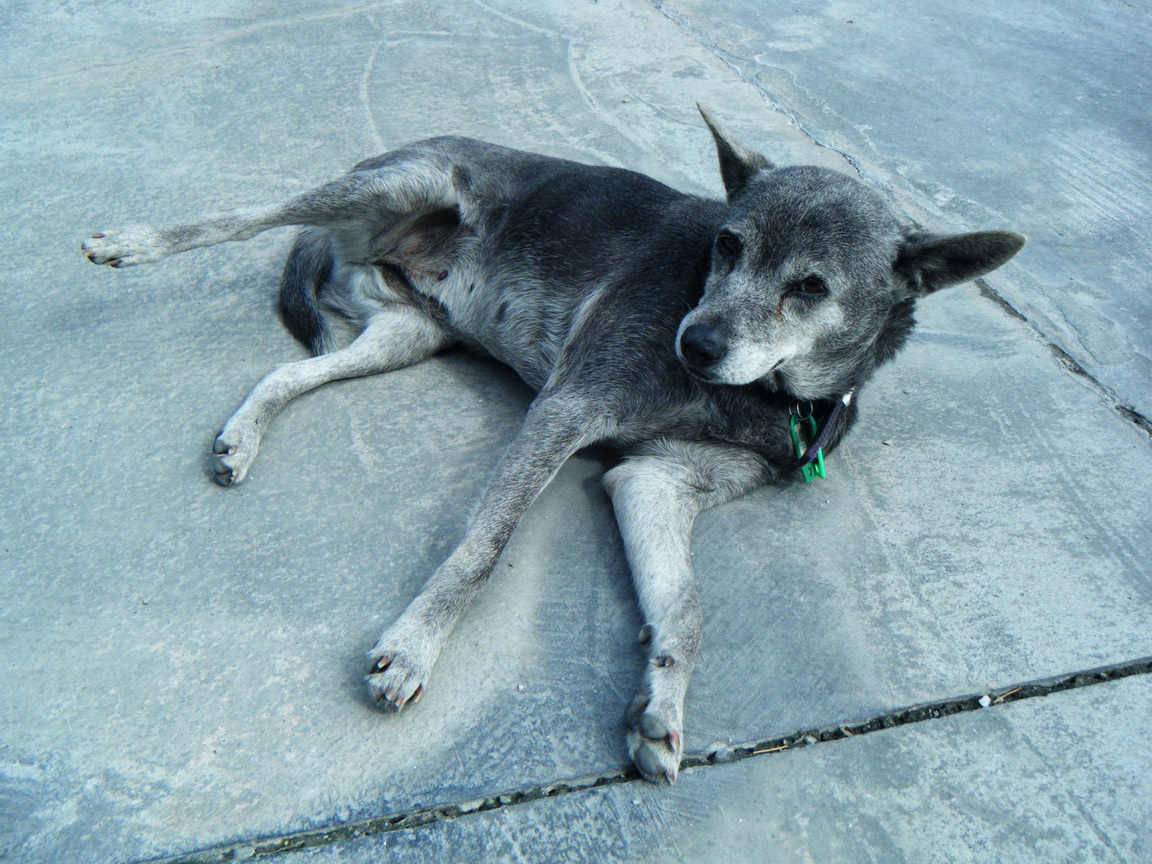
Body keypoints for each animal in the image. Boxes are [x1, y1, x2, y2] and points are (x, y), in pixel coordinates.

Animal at [82, 106, 1024, 783]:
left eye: (812, 288)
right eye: (727, 245)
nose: (695, 342)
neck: (758, 395)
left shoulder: (655, 480)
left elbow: (687, 608)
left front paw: (663, 707)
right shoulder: (565, 411)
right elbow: (483, 549)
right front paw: (416, 646)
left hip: (404, 335)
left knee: (286, 372)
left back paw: (241, 436)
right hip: (401, 182)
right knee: (245, 217)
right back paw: (135, 240)